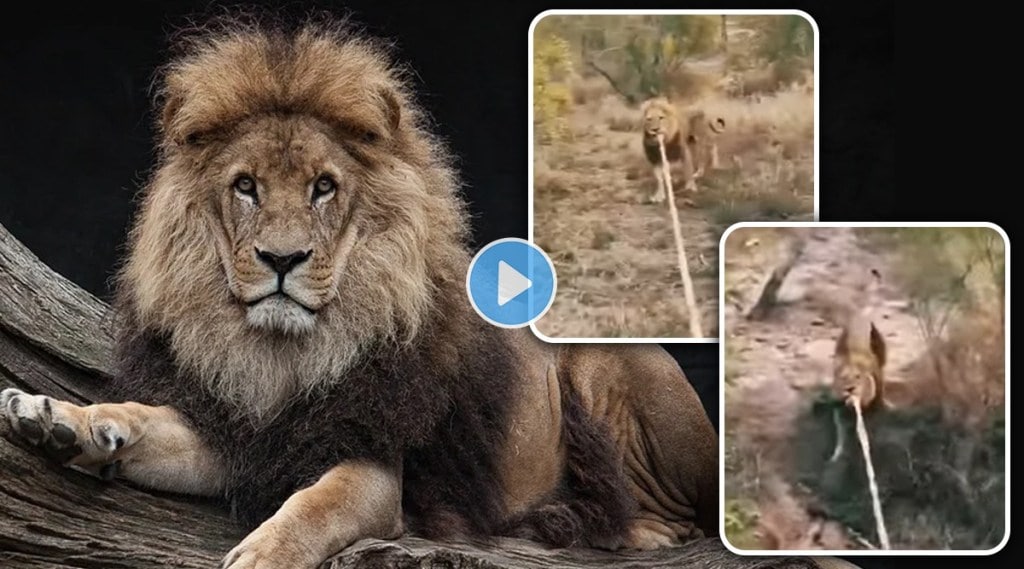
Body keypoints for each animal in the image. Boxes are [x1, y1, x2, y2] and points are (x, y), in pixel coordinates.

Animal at [0, 15, 720, 564]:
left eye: (324, 187)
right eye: (245, 186)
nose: (282, 258)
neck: (283, 355)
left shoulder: (374, 464)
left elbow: (317, 504)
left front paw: (262, 554)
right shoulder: (244, 433)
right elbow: (145, 419)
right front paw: (59, 419)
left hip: (618, 373)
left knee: (684, 515)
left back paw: (617, 527)